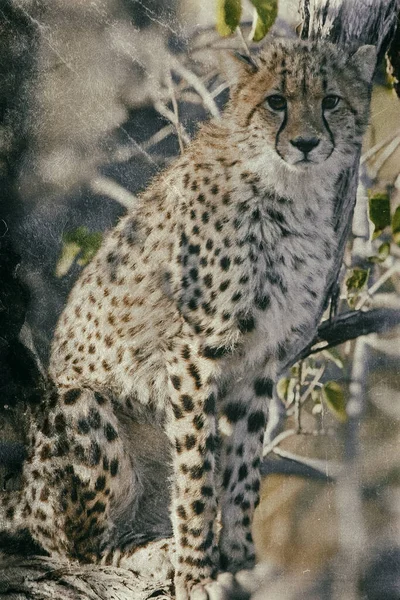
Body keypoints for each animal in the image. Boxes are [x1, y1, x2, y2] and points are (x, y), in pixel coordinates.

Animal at [0, 39, 376, 596]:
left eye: (331, 100)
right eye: (277, 102)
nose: (307, 143)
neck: (291, 189)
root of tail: (23, 492)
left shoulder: (261, 360)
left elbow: (243, 472)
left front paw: (239, 559)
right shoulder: (194, 353)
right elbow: (198, 474)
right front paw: (198, 574)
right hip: (78, 402)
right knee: (78, 546)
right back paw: (152, 553)